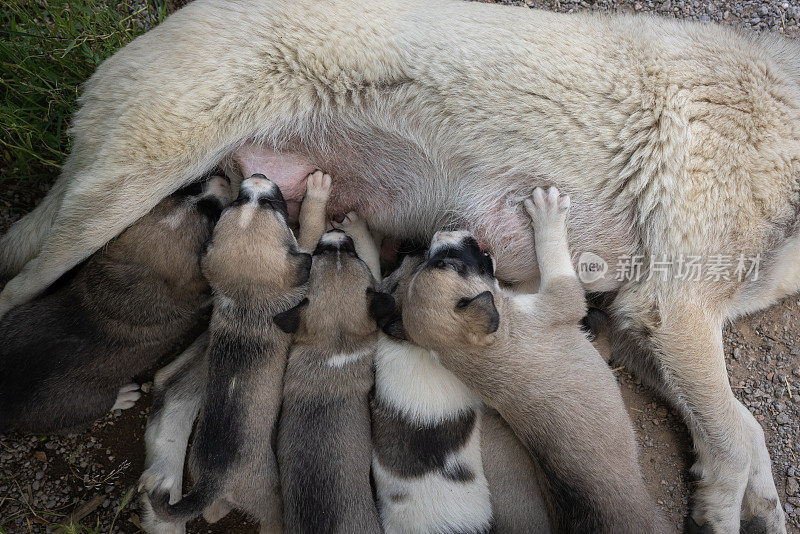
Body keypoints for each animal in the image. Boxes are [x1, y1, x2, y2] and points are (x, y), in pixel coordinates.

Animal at [0, 178, 228, 438]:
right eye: (211, 217)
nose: (222, 179)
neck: (128, 285)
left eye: (188, 191)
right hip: (86, 405)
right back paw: (124, 396)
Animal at [400, 189, 668, 534]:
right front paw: (548, 216)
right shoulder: (560, 297)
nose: (443, 230)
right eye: (447, 264)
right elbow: (553, 257)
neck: (476, 351)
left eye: (436, 262)